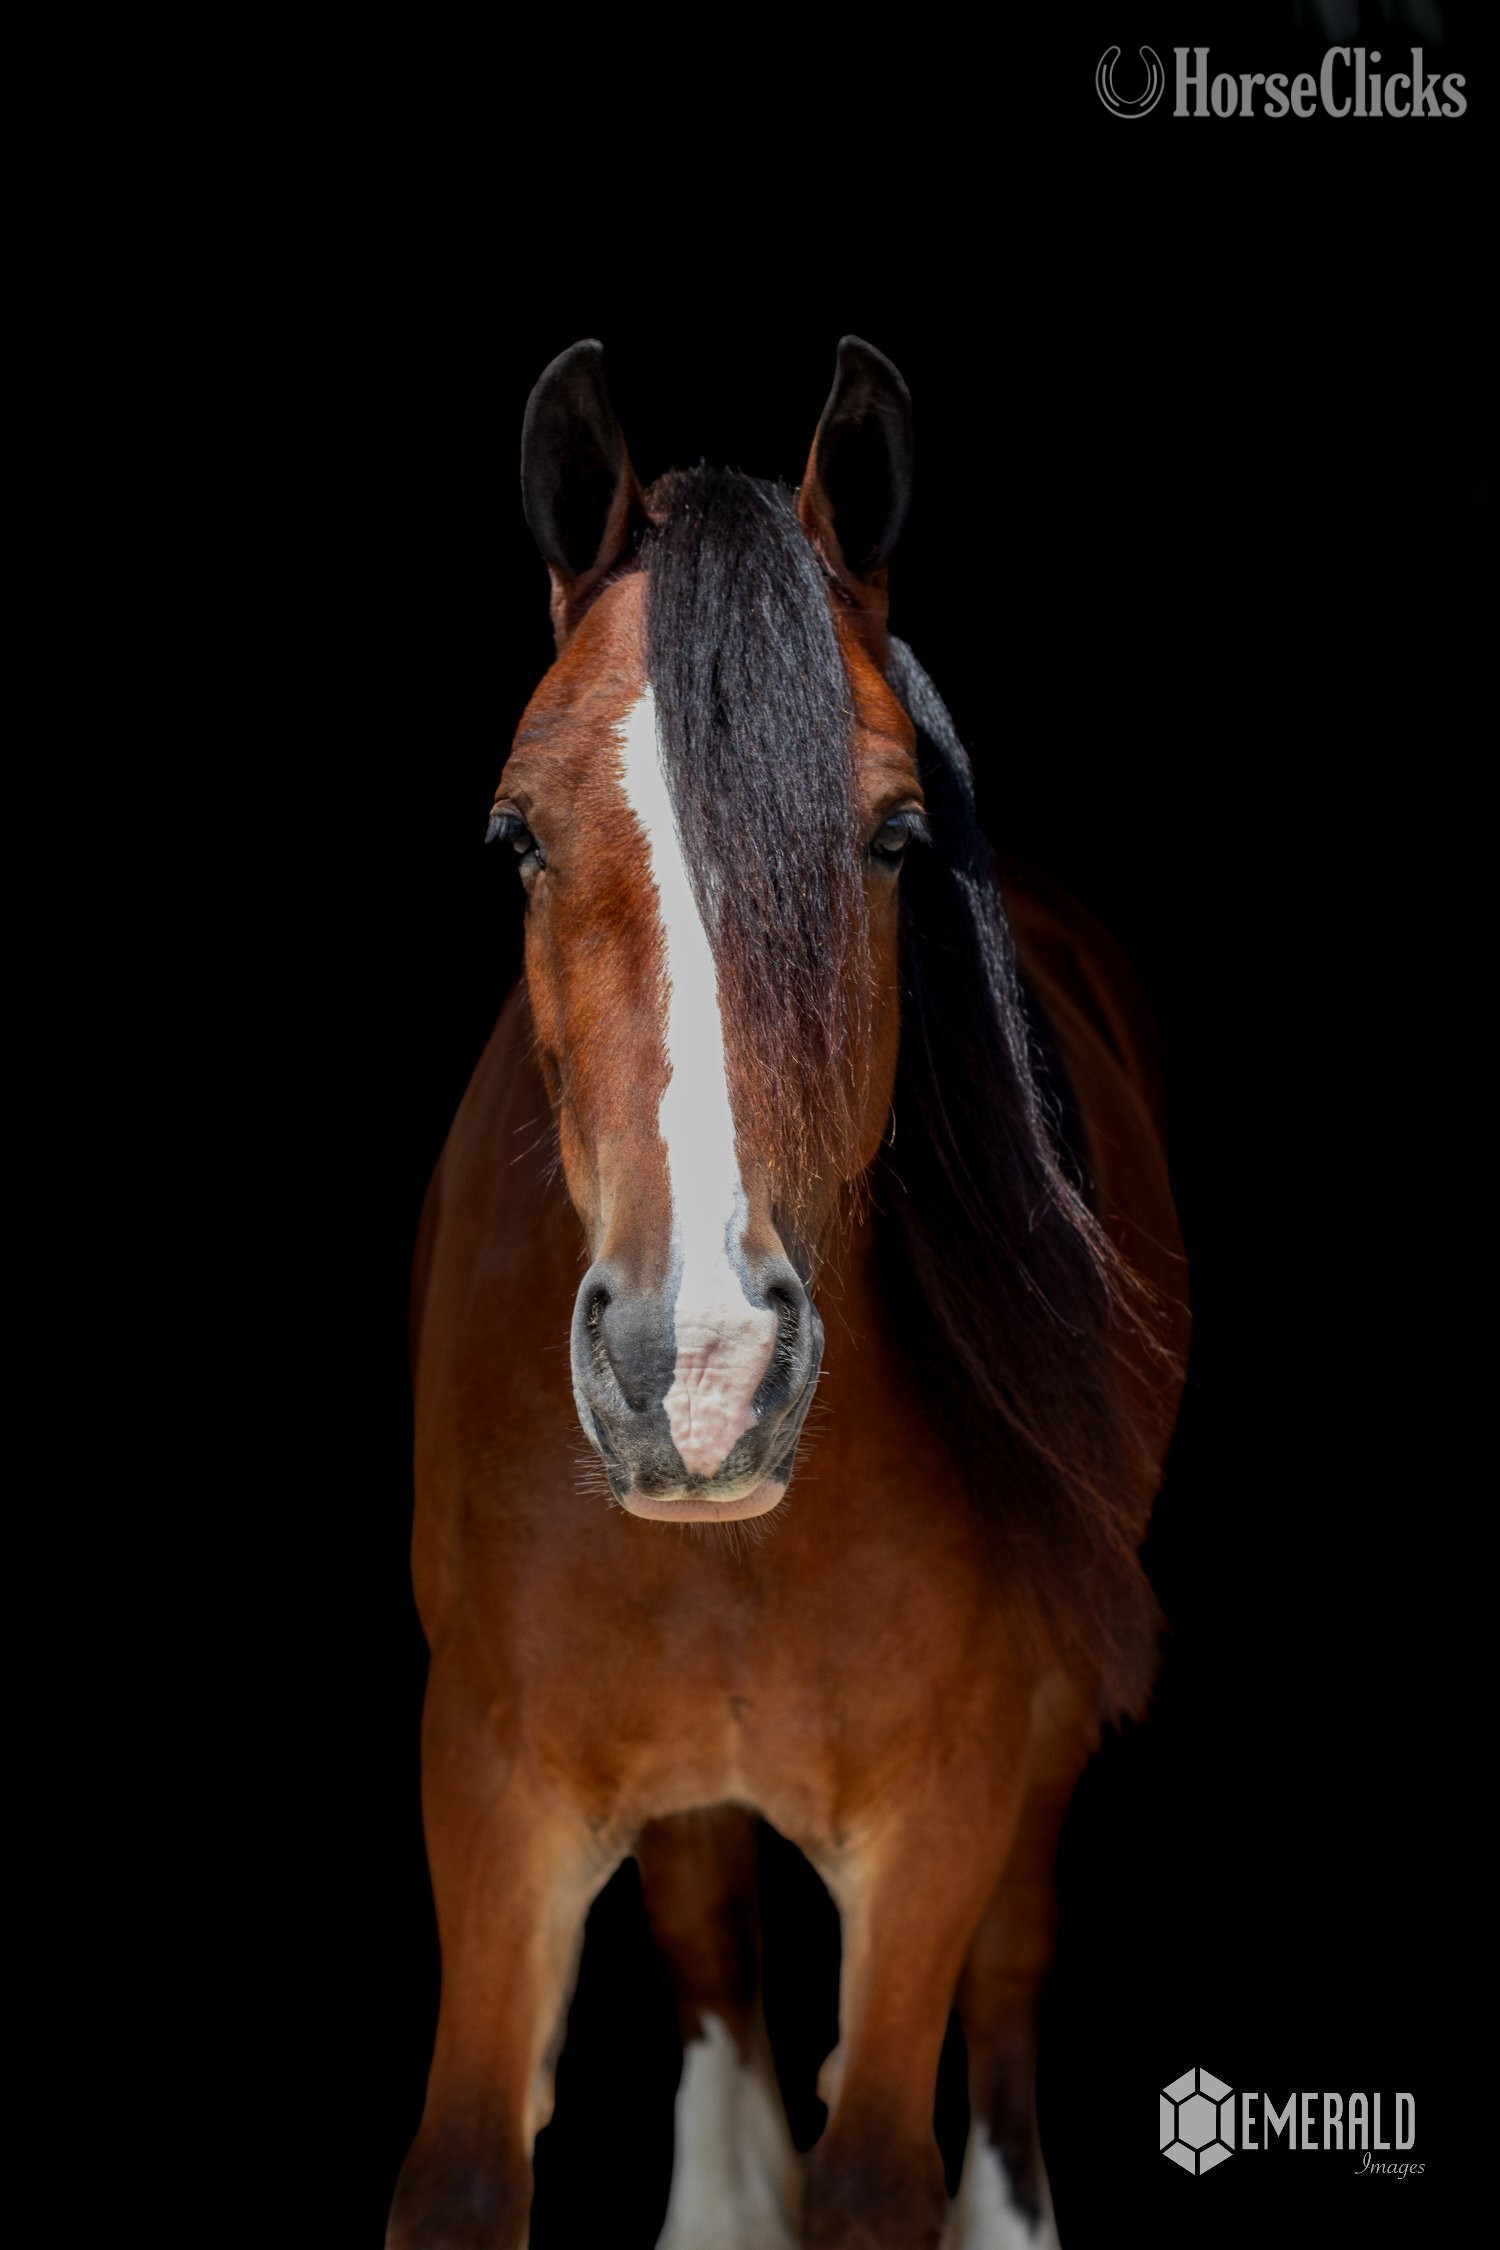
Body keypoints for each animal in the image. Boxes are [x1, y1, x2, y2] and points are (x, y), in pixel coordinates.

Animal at [386, 336, 1190, 2250]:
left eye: (893, 836)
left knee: (1012, 1985)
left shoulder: (943, 1812)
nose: (698, 1375)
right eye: (515, 834)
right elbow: (465, 2172)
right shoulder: (495, 1785)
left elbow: (883, 2158)